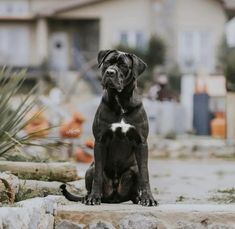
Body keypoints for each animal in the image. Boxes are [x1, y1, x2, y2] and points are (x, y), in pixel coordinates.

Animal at [59, 49, 157, 207]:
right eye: (107, 62)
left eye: (123, 65)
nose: (110, 72)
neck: (120, 101)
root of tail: (115, 197)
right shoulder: (100, 142)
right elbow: (98, 175)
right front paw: (94, 198)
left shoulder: (141, 142)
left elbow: (145, 174)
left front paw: (148, 198)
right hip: (89, 169)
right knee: (93, 177)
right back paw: (88, 197)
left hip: (133, 169)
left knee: (134, 186)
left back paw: (138, 198)